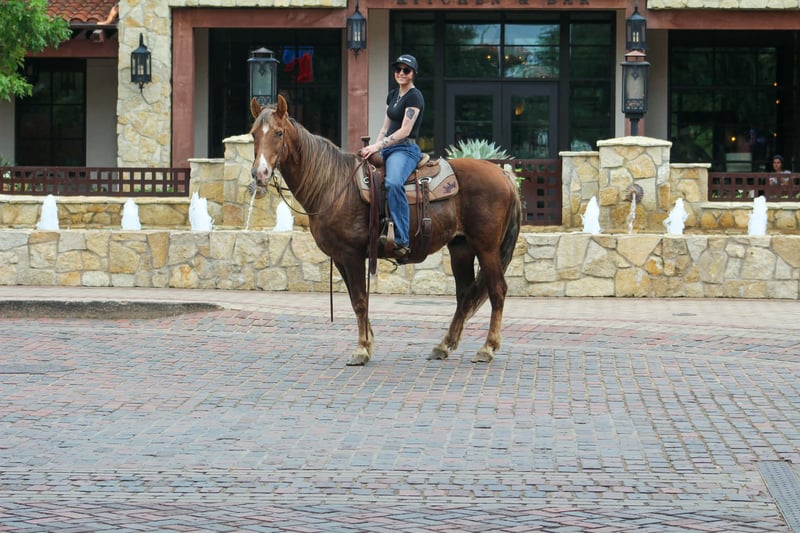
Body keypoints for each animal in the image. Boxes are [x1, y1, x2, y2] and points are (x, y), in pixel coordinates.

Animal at [250, 95, 521, 366]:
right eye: (253, 133)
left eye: (278, 132)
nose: (259, 173)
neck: (334, 185)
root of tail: (504, 175)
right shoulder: (340, 257)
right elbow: (356, 299)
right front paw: (368, 343)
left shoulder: (351, 255)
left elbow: (360, 301)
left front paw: (361, 349)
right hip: (461, 247)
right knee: (464, 293)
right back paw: (443, 345)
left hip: (486, 248)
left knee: (497, 290)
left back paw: (487, 348)